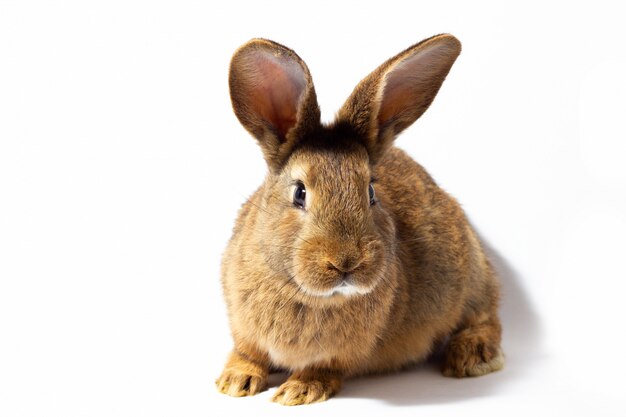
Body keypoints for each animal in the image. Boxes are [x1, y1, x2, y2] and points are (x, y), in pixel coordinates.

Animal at [214, 34, 502, 404]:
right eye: (299, 193)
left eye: (371, 191)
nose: (347, 261)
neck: (307, 294)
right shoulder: (242, 327)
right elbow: (246, 353)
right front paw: (235, 382)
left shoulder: (340, 356)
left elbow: (323, 368)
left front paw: (298, 390)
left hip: (471, 281)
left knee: (486, 315)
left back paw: (471, 357)